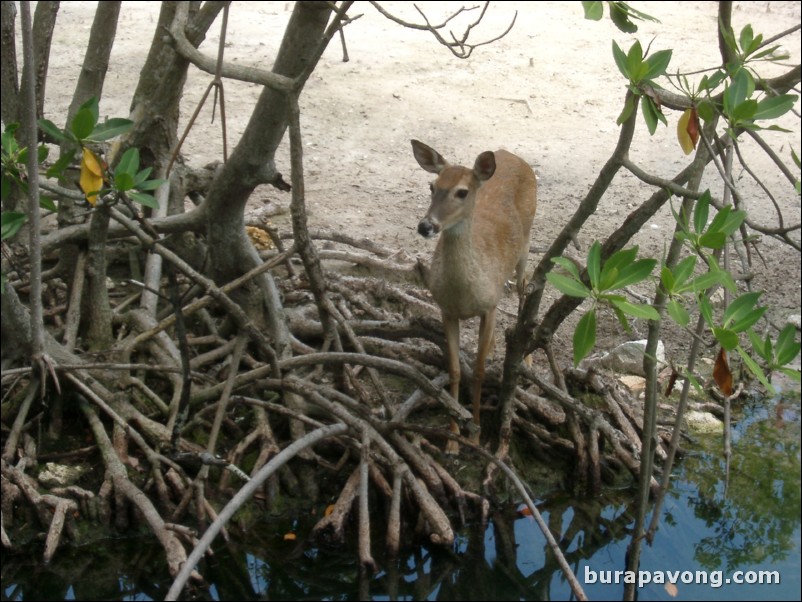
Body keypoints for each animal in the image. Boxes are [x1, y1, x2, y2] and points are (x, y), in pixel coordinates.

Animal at [410, 139, 536, 450]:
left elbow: (478, 373)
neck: (464, 294)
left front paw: (476, 433)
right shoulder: (445, 309)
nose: (426, 226)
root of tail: (510, 155)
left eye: (462, 191)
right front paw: (453, 438)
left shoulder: (489, 307)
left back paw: (526, 359)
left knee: (524, 285)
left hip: (526, 244)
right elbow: (455, 370)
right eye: (432, 186)